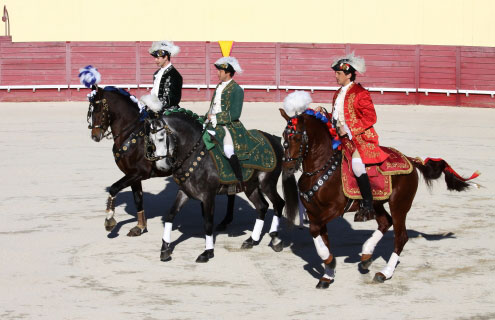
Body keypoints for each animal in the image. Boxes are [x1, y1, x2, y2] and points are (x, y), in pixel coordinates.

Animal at [84, 84, 238, 236]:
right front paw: (140, 227)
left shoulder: (139, 173)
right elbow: (138, 199)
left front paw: (109, 220)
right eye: (90, 110)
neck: (131, 133)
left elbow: (114, 188)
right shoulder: (133, 175)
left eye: (98, 109)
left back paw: (225, 221)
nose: (95, 136)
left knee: (232, 191)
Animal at [146, 109, 298, 264]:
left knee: (279, 204)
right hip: (251, 187)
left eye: (161, 137)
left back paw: (275, 239)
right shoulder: (184, 192)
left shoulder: (208, 196)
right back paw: (251, 240)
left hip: (267, 183)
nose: (161, 166)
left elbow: (208, 223)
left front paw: (207, 252)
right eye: (150, 140)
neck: (194, 154)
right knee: (262, 207)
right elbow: (170, 215)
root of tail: (274, 139)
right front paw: (165, 249)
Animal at [280, 109, 478, 288]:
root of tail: (410, 159)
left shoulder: (334, 209)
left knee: (401, 236)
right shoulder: (314, 212)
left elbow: (314, 230)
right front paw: (328, 274)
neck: (320, 169)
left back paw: (384, 273)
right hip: (377, 204)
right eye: (283, 137)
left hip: (399, 205)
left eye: (296, 138)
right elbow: (321, 237)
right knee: (385, 222)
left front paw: (329, 264)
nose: (287, 167)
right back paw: (366, 255)